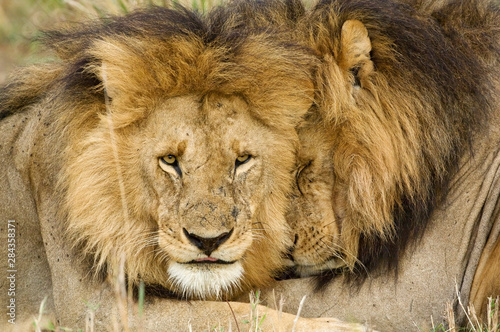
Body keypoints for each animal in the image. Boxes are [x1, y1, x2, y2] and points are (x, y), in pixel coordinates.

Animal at [0, 4, 370, 330]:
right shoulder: (90, 307)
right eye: (169, 160)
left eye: (242, 160)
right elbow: (231, 314)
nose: (208, 242)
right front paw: (342, 327)